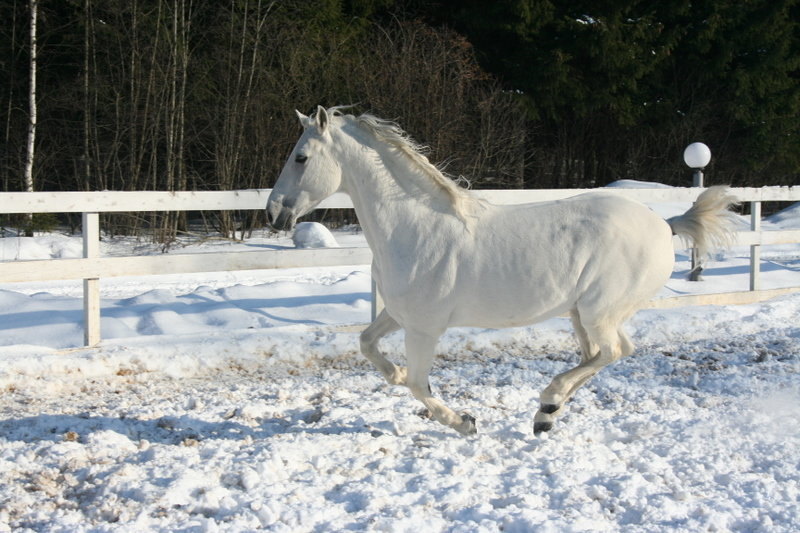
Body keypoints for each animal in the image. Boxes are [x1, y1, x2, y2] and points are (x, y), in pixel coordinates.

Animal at [268, 105, 736, 436]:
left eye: (301, 157)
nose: (274, 213)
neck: (415, 227)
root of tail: (665, 223)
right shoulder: (399, 315)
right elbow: (367, 344)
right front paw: (395, 374)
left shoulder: (423, 328)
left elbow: (419, 384)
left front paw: (465, 423)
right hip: (582, 313)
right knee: (601, 354)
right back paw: (547, 414)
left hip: (599, 310)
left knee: (612, 351)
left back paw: (547, 402)